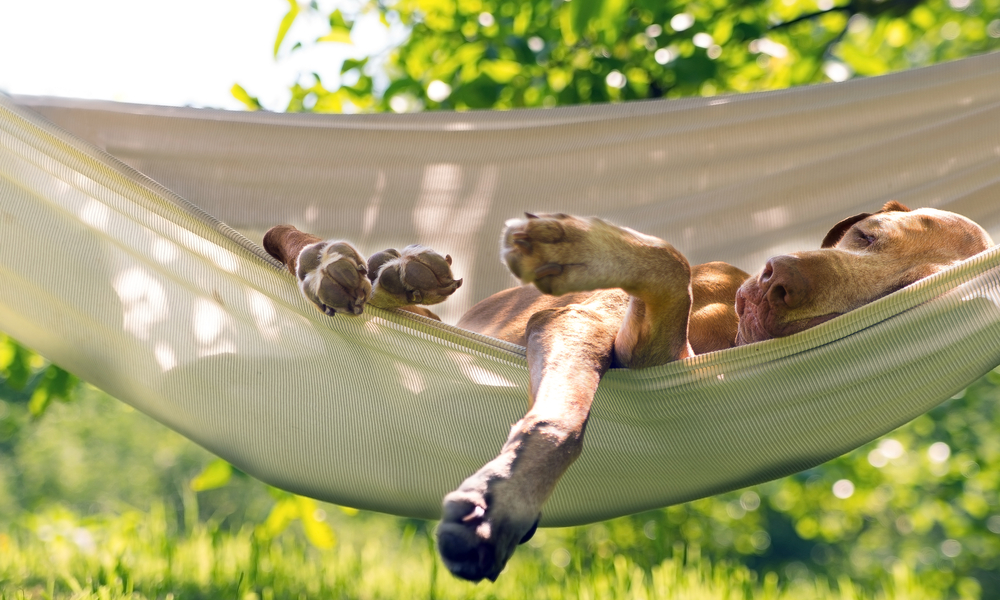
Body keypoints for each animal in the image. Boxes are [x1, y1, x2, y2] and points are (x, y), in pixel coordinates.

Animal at [264, 202, 992, 580]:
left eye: (896, 292)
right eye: (864, 236)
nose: (778, 276)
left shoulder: (651, 352)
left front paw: (503, 499)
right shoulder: (584, 318)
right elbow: (667, 260)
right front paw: (570, 242)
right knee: (295, 243)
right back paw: (351, 265)